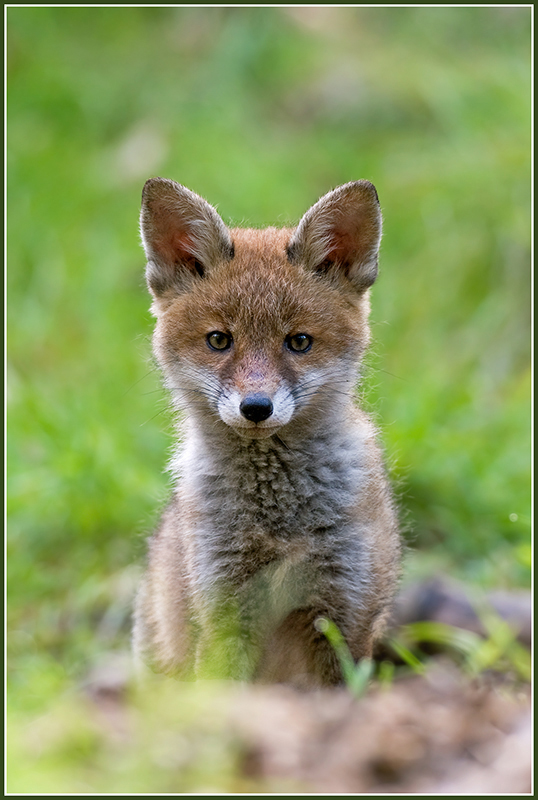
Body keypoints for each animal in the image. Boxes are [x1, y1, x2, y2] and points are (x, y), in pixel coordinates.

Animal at [132, 177, 400, 688]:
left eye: (299, 342)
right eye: (219, 340)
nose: (256, 407)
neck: (276, 520)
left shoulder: (342, 612)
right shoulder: (224, 608)